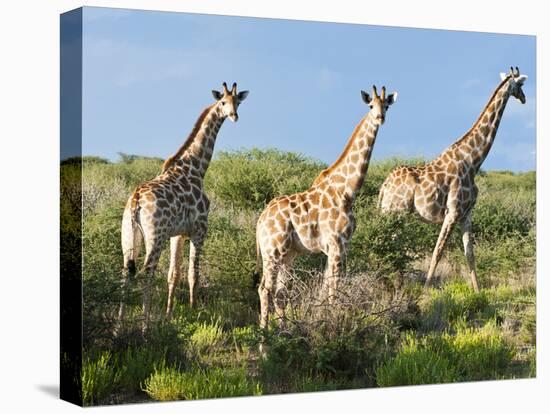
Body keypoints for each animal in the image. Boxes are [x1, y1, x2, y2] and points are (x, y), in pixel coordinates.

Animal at [119, 81, 251, 334]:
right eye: (223, 102)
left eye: (237, 101)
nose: (234, 116)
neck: (196, 168)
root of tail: (136, 200)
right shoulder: (200, 230)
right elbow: (193, 274)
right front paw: (194, 313)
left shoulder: (177, 234)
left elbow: (174, 274)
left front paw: (170, 315)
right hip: (155, 236)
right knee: (146, 272)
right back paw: (145, 327)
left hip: (129, 236)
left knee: (125, 273)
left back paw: (118, 328)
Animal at [256, 85, 398, 330]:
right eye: (371, 105)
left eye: (387, 105)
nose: (380, 117)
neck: (347, 191)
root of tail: (260, 222)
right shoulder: (336, 244)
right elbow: (333, 289)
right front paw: (333, 321)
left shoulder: (338, 246)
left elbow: (326, 286)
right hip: (273, 250)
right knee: (265, 289)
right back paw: (264, 336)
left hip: (288, 254)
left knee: (280, 292)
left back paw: (283, 331)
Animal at [380, 67, 532, 292]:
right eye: (521, 85)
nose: (524, 98)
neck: (473, 161)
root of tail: (384, 186)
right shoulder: (452, 212)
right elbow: (438, 252)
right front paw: (426, 290)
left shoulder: (466, 214)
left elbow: (470, 254)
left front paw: (478, 291)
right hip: (396, 213)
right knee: (390, 244)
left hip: (391, 213)